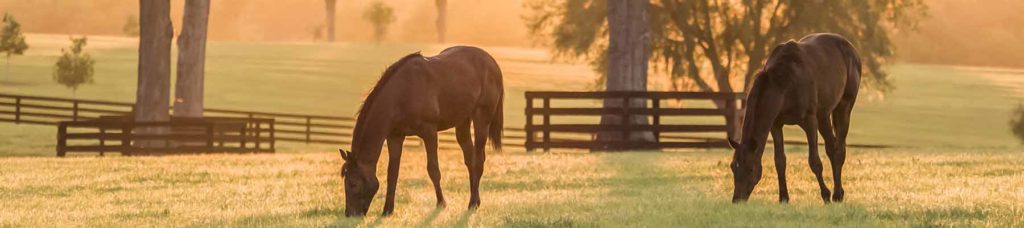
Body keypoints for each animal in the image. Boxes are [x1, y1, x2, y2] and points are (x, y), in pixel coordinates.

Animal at [339, 45, 503, 216]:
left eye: (353, 184)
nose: (350, 214)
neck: (402, 93)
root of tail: (491, 62)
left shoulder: (429, 132)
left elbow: (433, 170)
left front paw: (441, 203)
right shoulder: (395, 137)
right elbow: (392, 173)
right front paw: (387, 210)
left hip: (481, 120)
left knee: (478, 160)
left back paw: (472, 204)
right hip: (463, 122)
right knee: (470, 160)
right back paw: (474, 201)